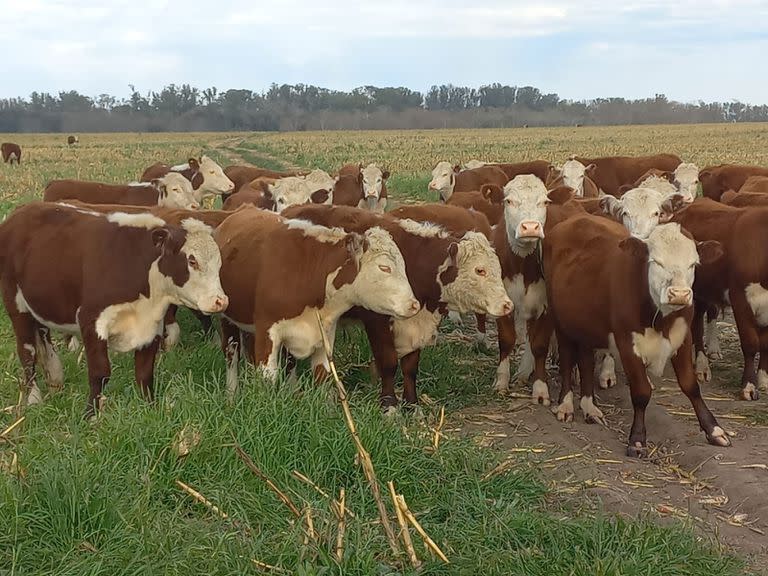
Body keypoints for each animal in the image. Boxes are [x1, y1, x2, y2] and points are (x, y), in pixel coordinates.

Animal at [0, 201, 228, 414]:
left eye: (219, 263)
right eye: (192, 260)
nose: (220, 300)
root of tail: (22, 210)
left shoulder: (152, 326)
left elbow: (145, 372)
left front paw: (150, 408)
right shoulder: (92, 321)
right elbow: (100, 373)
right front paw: (90, 416)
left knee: (43, 337)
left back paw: (54, 378)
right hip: (16, 306)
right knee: (27, 352)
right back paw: (33, 397)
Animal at [216, 205, 420, 394]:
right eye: (384, 268)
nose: (414, 305)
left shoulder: (325, 335)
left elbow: (322, 375)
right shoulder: (268, 333)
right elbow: (267, 380)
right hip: (227, 320)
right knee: (232, 354)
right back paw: (231, 394)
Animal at [280, 205, 510, 408]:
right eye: (480, 270)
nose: (507, 305)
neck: (415, 262)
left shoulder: (415, 324)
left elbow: (410, 367)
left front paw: (412, 404)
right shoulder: (377, 321)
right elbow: (389, 363)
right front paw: (389, 405)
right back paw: (291, 385)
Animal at [544, 215, 728, 454]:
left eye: (693, 264)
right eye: (656, 262)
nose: (679, 294)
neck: (660, 320)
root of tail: (576, 219)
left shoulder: (682, 339)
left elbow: (691, 386)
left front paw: (714, 430)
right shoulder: (627, 344)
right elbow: (641, 393)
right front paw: (637, 439)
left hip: (586, 323)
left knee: (585, 361)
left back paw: (589, 407)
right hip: (560, 320)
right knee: (567, 360)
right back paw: (565, 405)